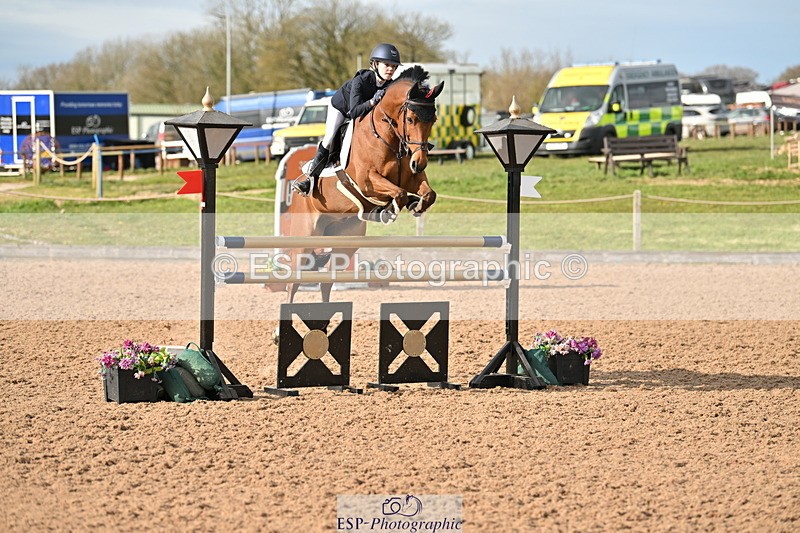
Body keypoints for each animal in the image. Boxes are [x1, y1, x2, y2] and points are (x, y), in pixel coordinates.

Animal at [280, 65, 444, 304]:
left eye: (433, 120)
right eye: (411, 119)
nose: (419, 163)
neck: (388, 137)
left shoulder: (411, 179)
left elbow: (427, 194)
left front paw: (415, 205)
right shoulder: (367, 181)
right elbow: (398, 193)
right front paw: (387, 211)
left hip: (346, 241)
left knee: (326, 282)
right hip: (304, 239)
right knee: (293, 283)